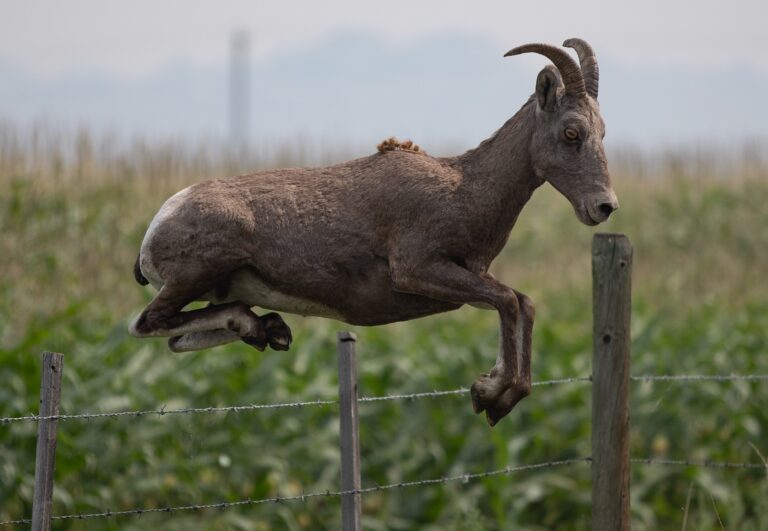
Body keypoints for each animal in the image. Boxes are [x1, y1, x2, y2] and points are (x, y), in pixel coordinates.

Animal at [130, 39, 617, 426]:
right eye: (571, 133)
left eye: (602, 132)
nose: (604, 206)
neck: (464, 189)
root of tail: (158, 225)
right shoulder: (419, 271)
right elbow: (509, 303)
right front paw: (491, 397)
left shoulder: (464, 279)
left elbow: (522, 303)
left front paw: (492, 392)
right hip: (195, 275)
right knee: (146, 325)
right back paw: (261, 327)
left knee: (178, 337)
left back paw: (267, 330)